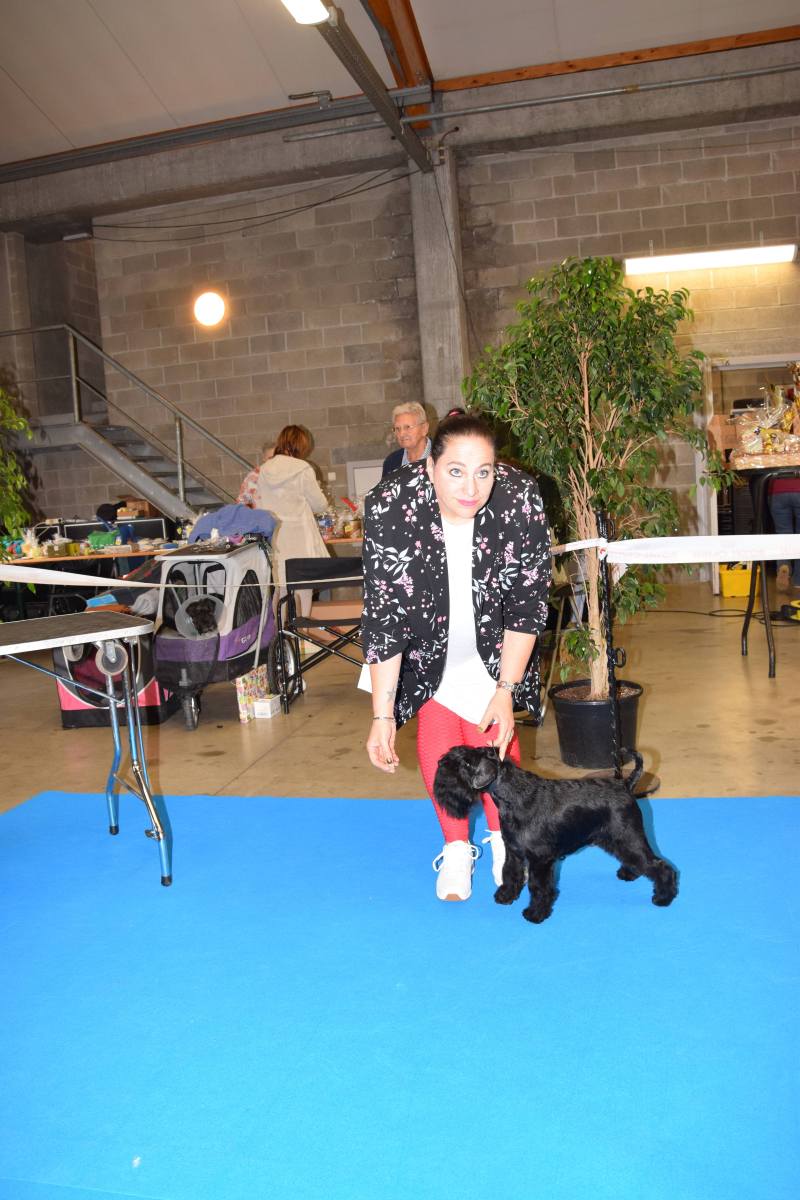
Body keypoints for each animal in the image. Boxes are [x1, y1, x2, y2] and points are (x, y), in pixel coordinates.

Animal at [433, 746, 678, 923]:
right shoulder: (513, 852)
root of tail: (626, 784)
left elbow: (538, 887)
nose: (440, 764)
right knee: (637, 860)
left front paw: (535, 914)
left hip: (628, 837)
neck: (514, 795)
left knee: (659, 865)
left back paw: (663, 897)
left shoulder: (540, 860)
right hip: (617, 840)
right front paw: (505, 896)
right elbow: (510, 874)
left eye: (466, 762)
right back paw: (629, 873)